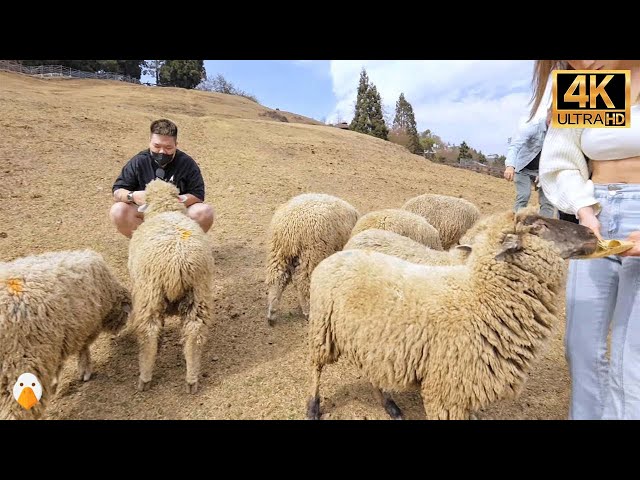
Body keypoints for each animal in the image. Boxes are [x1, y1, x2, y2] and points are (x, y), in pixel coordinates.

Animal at [0, 249, 131, 418]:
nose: (122, 329)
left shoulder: (61, 340)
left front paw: (56, 383)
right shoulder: (87, 326)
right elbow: (84, 349)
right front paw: (85, 372)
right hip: (21, 361)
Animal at [129, 180, 216, 394]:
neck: (164, 210)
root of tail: (177, 262)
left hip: (150, 293)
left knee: (148, 332)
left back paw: (145, 377)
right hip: (198, 292)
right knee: (194, 332)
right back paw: (192, 379)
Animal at [264, 193, 360, 324]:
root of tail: (290, 226)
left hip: (278, 252)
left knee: (277, 279)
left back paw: (272, 312)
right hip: (312, 254)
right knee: (304, 283)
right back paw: (308, 311)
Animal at [304, 206, 600, 420]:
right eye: (538, 226)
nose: (591, 232)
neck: (481, 297)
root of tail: (338, 255)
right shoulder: (447, 390)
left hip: (368, 341)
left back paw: (390, 405)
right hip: (322, 329)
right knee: (316, 368)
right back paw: (313, 407)